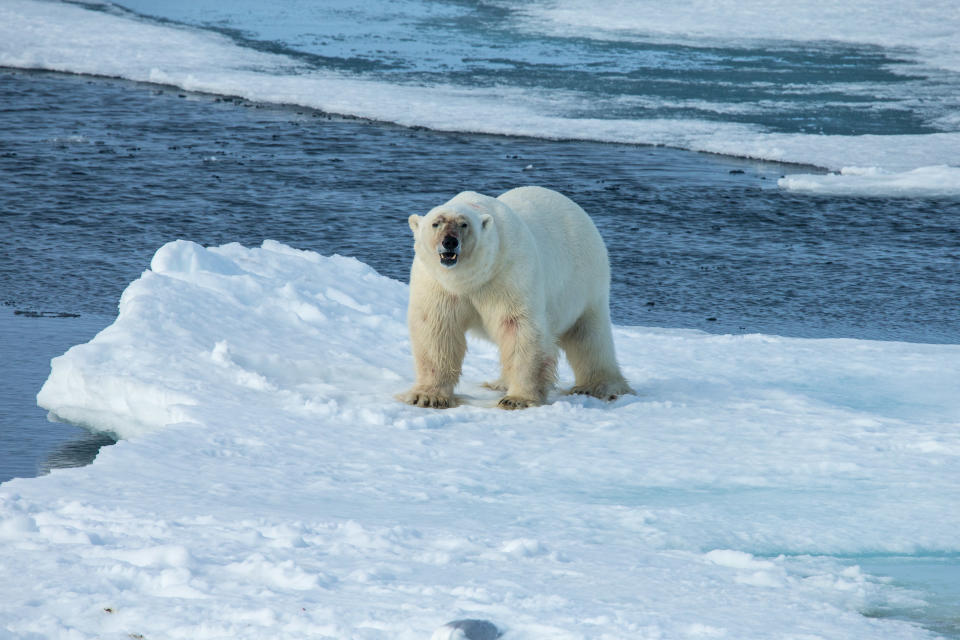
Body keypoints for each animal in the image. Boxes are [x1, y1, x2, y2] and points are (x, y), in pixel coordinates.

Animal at [402, 185, 632, 410]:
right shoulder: (437, 284)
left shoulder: (508, 274)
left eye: (464, 224)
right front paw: (427, 397)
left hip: (584, 284)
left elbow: (519, 328)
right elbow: (436, 329)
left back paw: (600, 387)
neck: (470, 279)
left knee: (589, 337)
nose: (449, 242)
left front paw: (517, 399)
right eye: (436, 223)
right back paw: (499, 383)